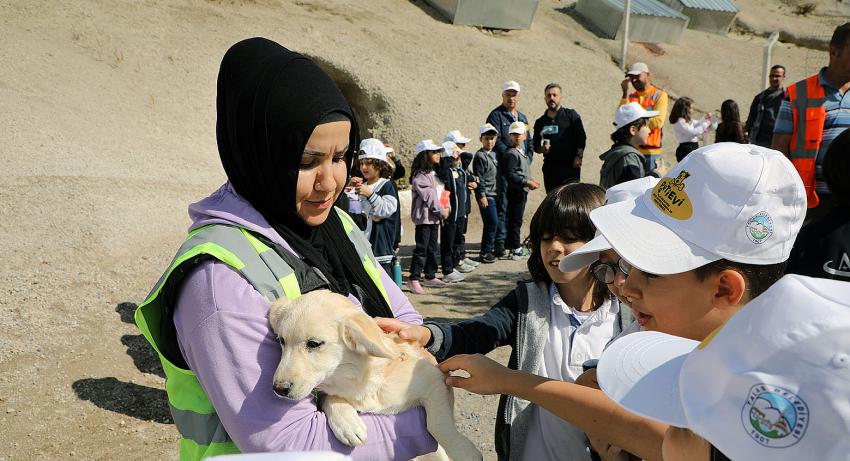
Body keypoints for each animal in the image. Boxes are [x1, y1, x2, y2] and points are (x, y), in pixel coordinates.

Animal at [268, 290, 480, 458]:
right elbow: (330, 397)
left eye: (314, 343)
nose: (278, 389)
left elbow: (437, 424)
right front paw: (347, 424)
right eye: (281, 341)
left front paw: (463, 451)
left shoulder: (435, 380)